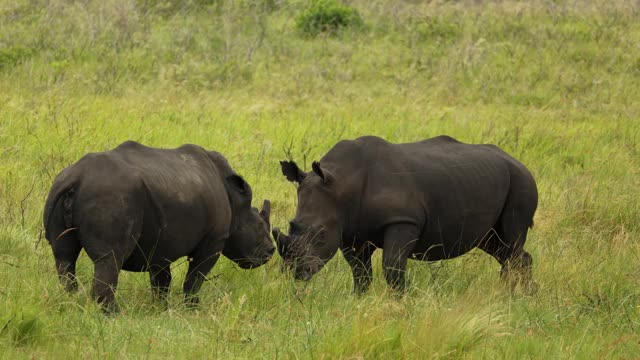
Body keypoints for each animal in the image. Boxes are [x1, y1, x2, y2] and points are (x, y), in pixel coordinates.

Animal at [43, 141, 274, 312]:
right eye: (260, 227)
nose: (270, 252)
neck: (236, 203)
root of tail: (77, 177)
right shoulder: (215, 239)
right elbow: (195, 278)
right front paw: (192, 309)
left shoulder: (161, 242)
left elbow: (162, 280)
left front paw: (161, 309)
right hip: (110, 195)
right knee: (109, 259)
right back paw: (115, 316)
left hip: (61, 187)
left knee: (64, 257)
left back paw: (72, 303)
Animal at [272, 135, 536, 292]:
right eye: (292, 224)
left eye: (322, 234)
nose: (295, 271)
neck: (341, 184)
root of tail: (519, 162)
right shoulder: (349, 231)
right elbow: (360, 272)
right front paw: (360, 299)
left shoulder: (403, 221)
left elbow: (392, 266)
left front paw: (400, 303)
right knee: (498, 245)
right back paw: (517, 293)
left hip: (521, 183)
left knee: (511, 241)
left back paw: (510, 294)